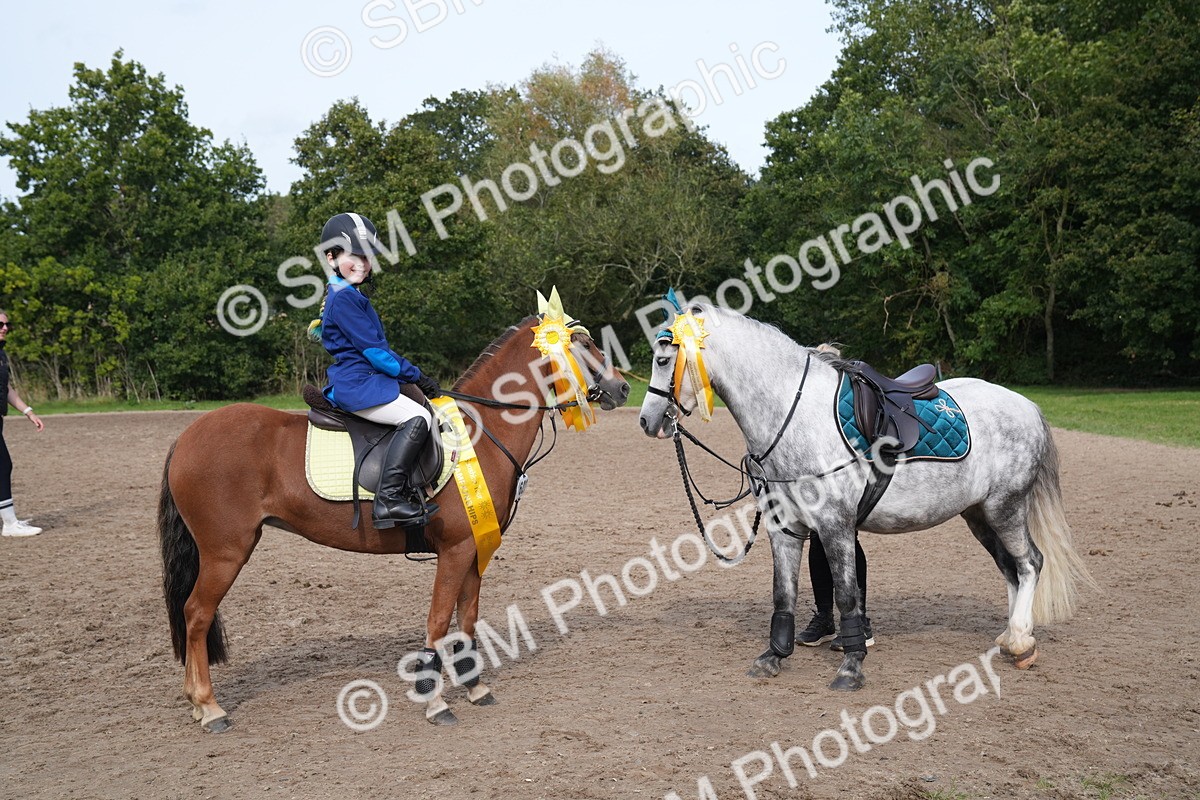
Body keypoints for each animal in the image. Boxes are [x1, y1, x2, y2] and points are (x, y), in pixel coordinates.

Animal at [159, 313, 629, 730]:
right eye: (582, 344)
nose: (622, 387)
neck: (481, 430)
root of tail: (187, 436)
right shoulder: (457, 549)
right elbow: (438, 621)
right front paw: (435, 700)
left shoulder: (476, 547)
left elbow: (468, 618)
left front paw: (475, 688)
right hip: (226, 551)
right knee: (196, 614)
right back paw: (209, 708)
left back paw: (198, 705)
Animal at [638, 302, 1095, 691]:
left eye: (663, 360)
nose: (647, 421)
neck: (794, 414)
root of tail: (1027, 406)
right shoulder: (785, 529)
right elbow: (784, 593)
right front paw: (774, 656)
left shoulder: (835, 526)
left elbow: (846, 594)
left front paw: (851, 666)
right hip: (978, 515)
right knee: (1009, 568)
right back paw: (1012, 635)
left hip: (1006, 508)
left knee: (1029, 563)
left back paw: (1019, 641)